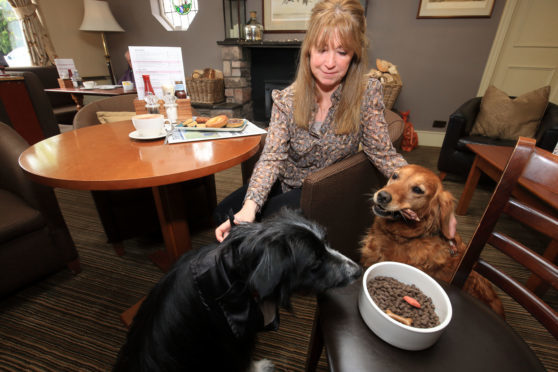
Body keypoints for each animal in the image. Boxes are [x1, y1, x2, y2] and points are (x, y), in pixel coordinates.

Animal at [116, 209, 366, 372]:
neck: (234, 274)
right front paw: (259, 367)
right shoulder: (232, 341)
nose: (358, 270)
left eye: (326, 243)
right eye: (315, 263)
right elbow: (243, 362)